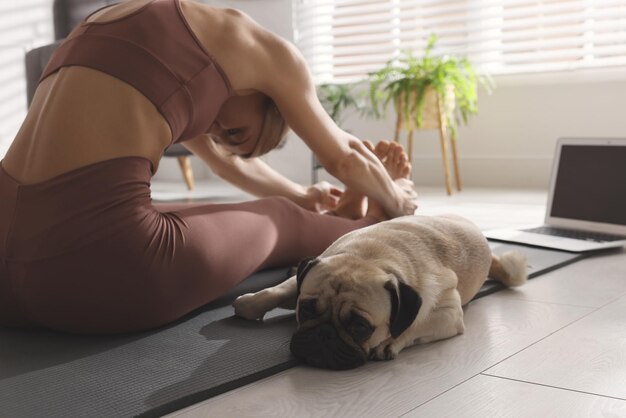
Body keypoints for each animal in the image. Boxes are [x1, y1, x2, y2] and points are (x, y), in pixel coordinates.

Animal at [232, 216, 524, 370]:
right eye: (305, 310)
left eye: (360, 327)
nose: (324, 334)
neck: (369, 257)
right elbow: (282, 288)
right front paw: (251, 302)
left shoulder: (449, 314)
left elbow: (413, 325)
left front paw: (388, 342)